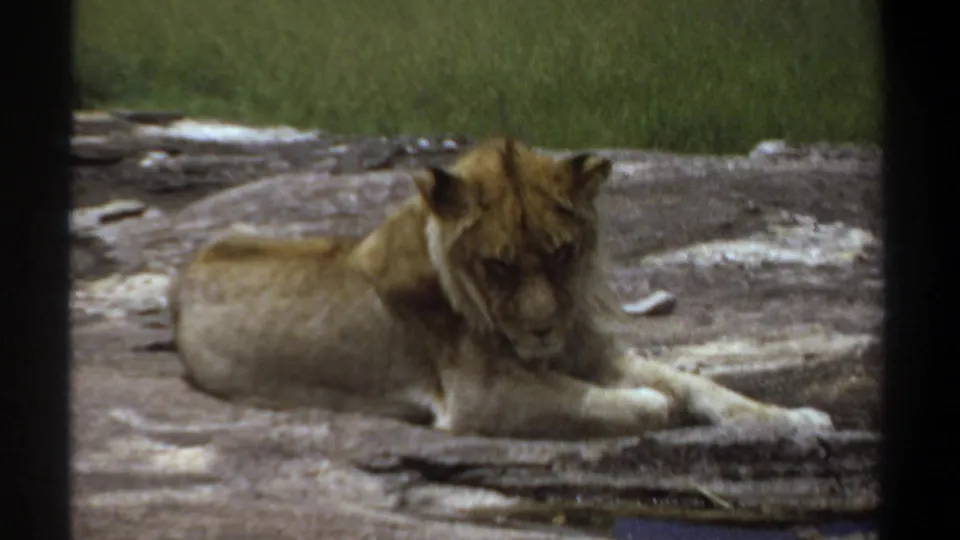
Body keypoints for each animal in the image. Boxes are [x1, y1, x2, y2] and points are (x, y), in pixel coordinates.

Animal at [170, 137, 833, 439]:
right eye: (498, 266)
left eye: (563, 253)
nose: (541, 329)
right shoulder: (478, 397)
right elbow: (591, 397)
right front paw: (650, 404)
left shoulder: (589, 350)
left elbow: (699, 382)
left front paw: (794, 416)